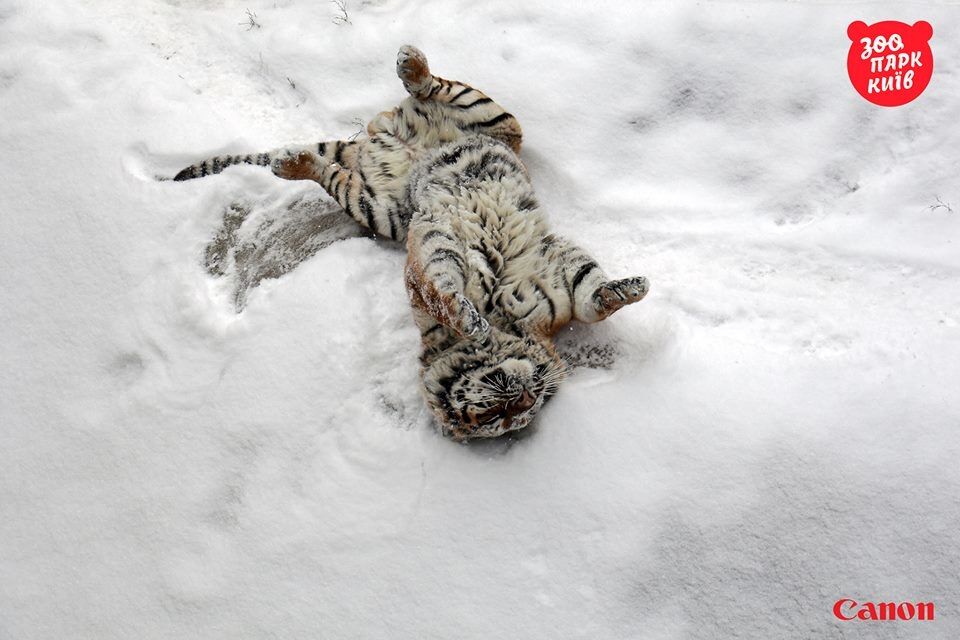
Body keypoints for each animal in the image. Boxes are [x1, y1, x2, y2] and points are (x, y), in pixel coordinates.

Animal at [173, 45, 652, 440]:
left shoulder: (552, 271)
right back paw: (293, 161)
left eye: (515, 413)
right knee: (333, 174)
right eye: (495, 417)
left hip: (492, 119)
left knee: (435, 88)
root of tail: (375, 142)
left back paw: (409, 62)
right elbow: (440, 291)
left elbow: (590, 296)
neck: (508, 324)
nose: (526, 398)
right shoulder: (433, 249)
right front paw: (468, 317)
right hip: (381, 210)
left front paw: (629, 289)